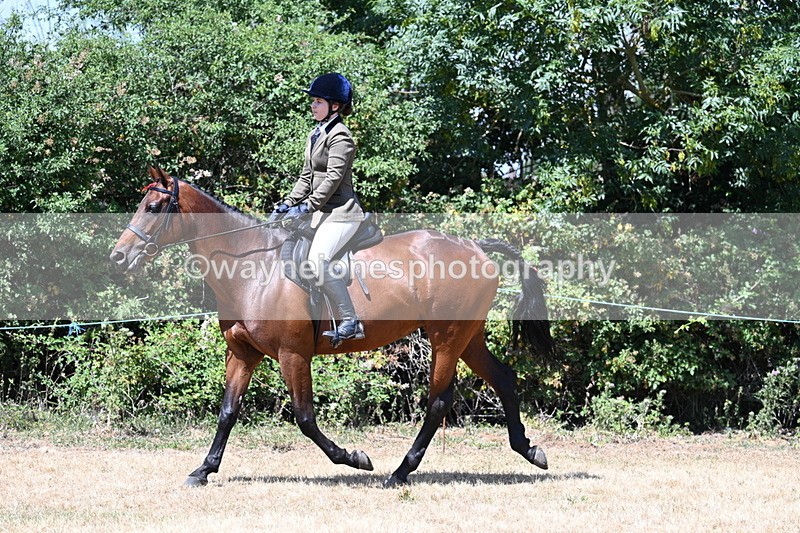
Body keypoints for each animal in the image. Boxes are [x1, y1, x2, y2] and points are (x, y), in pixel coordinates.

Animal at [110, 166, 555, 487]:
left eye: (154, 208)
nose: (118, 257)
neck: (251, 267)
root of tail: (475, 246)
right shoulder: (243, 353)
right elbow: (227, 412)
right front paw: (203, 470)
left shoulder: (292, 354)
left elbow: (305, 418)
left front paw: (355, 458)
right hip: (468, 336)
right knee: (504, 378)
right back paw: (528, 450)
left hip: (446, 337)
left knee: (437, 402)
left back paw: (399, 473)